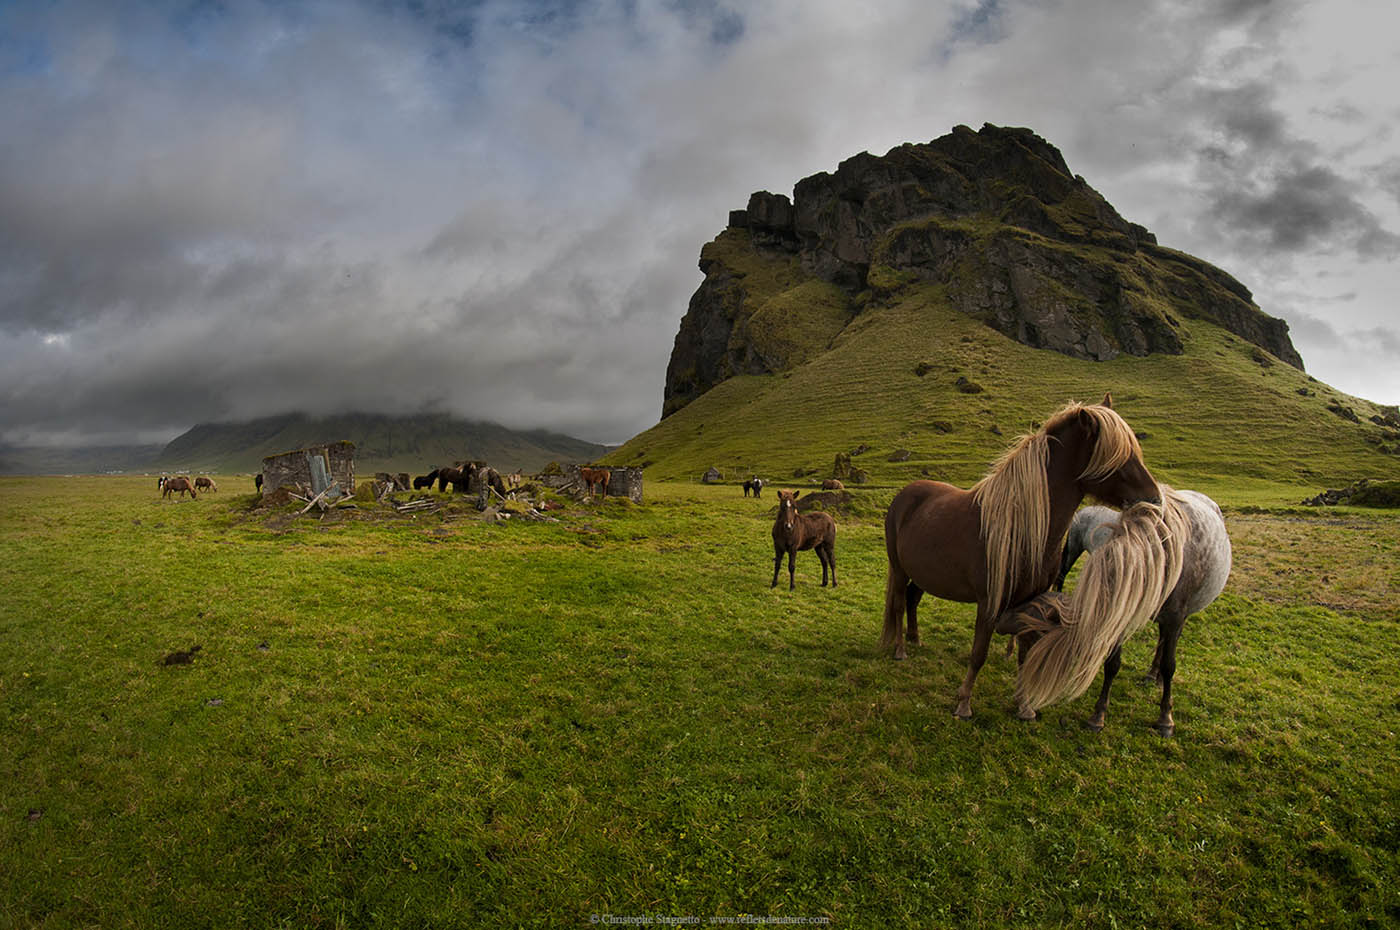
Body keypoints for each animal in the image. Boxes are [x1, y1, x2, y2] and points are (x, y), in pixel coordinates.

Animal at [884, 392, 1159, 717]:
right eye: (1118, 456)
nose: (1154, 500)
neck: (1020, 528)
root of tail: (905, 495)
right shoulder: (989, 602)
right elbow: (978, 653)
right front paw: (964, 702)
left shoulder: (1032, 600)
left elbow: (1025, 654)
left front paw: (1024, 705)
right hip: (899, 569)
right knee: (899, 603)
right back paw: (900, 649)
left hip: (924, 574)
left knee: (912, 599)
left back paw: (915, 639)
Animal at [1002, 490, 1232, 739]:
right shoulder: (1121, 616)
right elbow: (1113, 664)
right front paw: (1098, 716)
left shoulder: (1175, 616)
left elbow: (1170, 665)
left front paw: (1165, 719)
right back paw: (1152, 674)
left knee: (1167, 642)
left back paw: (1157, 677)